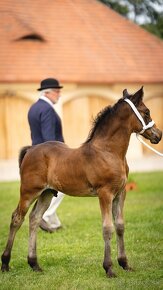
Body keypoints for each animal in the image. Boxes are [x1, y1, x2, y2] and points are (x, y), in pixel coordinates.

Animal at [1, 88, 162, 276]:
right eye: (146, 112)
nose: (158, 135)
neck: (108, 151)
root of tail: (31, 149)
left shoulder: (120, 193)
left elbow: (120, 226)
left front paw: (124, 264)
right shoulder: (105, 194)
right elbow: (107, 228)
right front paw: (109, 268)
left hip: (46, 193)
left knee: (34, 219)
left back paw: (34, 264)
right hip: (28, 192)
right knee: (17, 218)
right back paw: (5, 264)